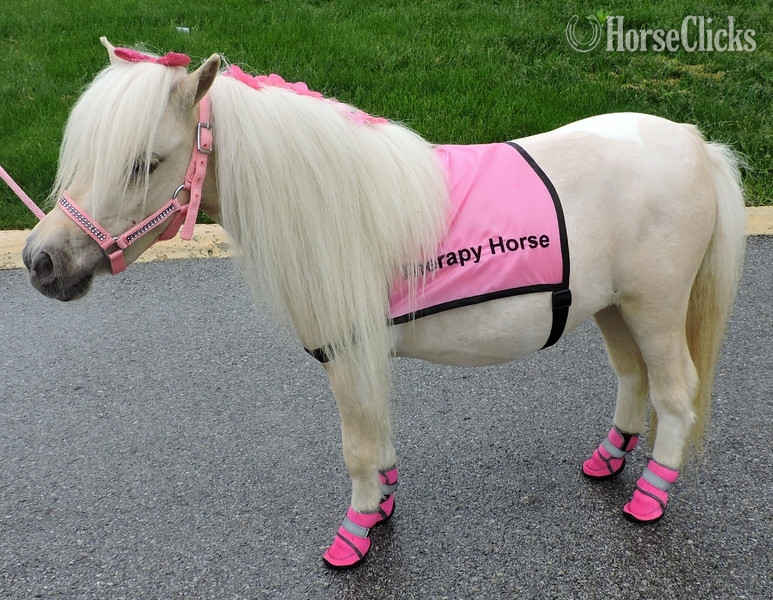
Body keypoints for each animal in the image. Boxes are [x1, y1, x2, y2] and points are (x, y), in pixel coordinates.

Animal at [22, 38, 746, 569]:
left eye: (145, 163)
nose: (41, 262)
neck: (335, 205)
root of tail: (692, 141)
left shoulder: (348, 352)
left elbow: (358, 446)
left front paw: (355, 533)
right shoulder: (363, 353)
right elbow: (379, 430)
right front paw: (384, 503)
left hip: (655, 308)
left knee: (674, 392)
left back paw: (650, 495)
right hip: (613, 307)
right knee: (632, 377)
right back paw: (609, 458)